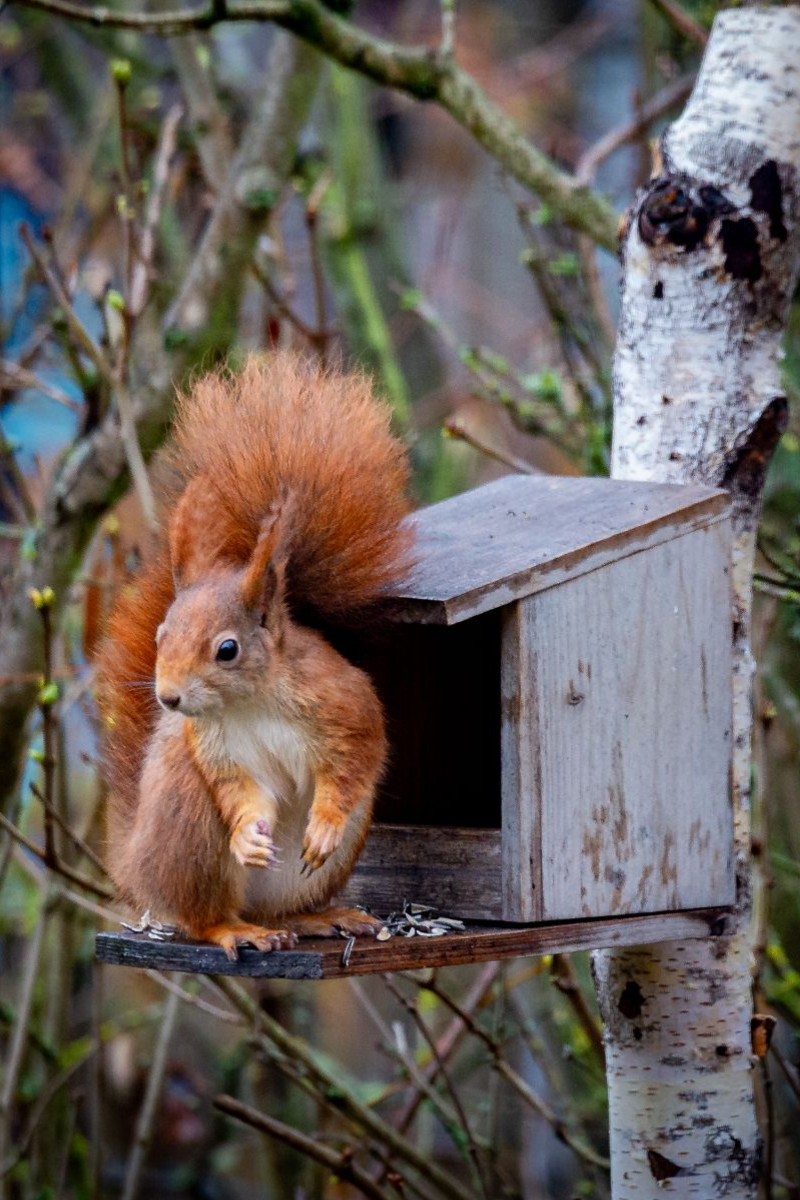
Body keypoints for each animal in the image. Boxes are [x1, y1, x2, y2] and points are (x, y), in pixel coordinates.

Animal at [96, 353, 414, 959]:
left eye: (227, 649)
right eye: (160, 636)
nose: (169, 698)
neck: (250, 703)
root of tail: (135, 868)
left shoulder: (344, 707)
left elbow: (353, 765)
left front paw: (324, 821)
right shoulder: (217, 751)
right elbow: (241, 794)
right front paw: (247, 834)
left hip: (324, 863)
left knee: (278, 907)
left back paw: (319, 917)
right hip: (192, 832)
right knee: (204, 917)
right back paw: (235, 928)